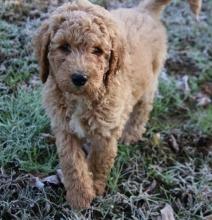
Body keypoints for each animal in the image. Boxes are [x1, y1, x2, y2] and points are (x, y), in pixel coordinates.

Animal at [33, 0, 197, 209]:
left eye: (97, 50)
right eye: (64, 47)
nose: (79, 78)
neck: (82, 98)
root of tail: (144, 10)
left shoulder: (106, 132)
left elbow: (98, 161)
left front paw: (95, 188)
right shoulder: (64, 128)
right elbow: (72, 163)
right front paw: (80, 196)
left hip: (150, 80)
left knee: (144, 107)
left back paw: (131, 133)